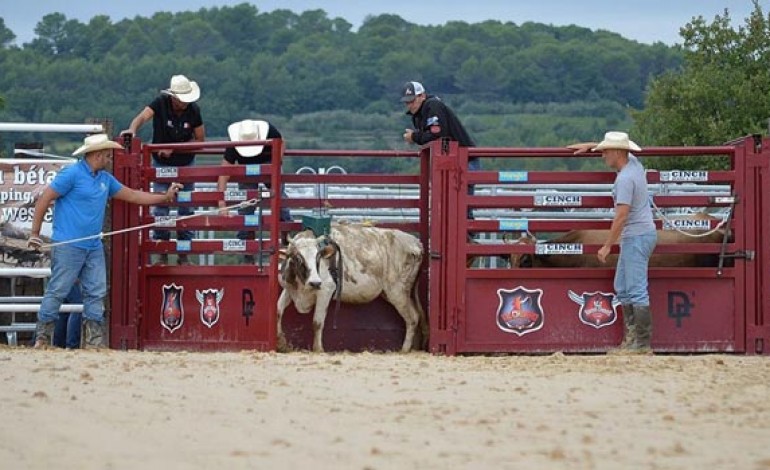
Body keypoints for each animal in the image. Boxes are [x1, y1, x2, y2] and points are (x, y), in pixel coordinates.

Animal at [276, 225, 426, 352]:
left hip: (398, 292)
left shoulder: (326, 290)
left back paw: (404, 350)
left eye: (318, 257)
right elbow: (278, 310)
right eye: (297, 258)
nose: (315, 282)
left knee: (412, 318)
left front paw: (318, 349)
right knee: (415, 316)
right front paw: (281, 343)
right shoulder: (288, 289)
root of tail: (415, 242)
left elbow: (317, 322)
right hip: (392, 293)